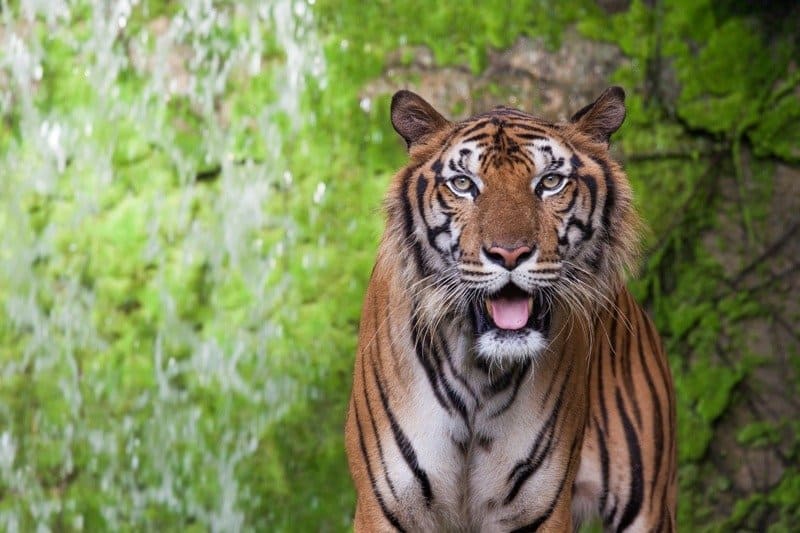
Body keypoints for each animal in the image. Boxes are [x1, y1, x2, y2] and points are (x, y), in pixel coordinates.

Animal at [344, 85, 676, 528]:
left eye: (550, 182)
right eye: (463, 184)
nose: (510, 253)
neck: (479, 376)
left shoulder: (539, 508)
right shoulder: (388, 507)